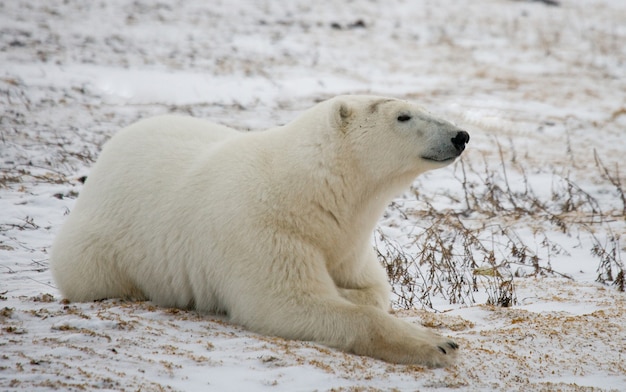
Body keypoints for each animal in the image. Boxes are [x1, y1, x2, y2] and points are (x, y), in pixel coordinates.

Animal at [50, 95, 468, 368]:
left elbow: (372, 287)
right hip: (101, 249)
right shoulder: (264, 228)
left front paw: (348, 290)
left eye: (424, 108)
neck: (304, 189)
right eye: (404, 116)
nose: (460, 135)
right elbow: (287, 301)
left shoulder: (348, 239)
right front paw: (438, 344)